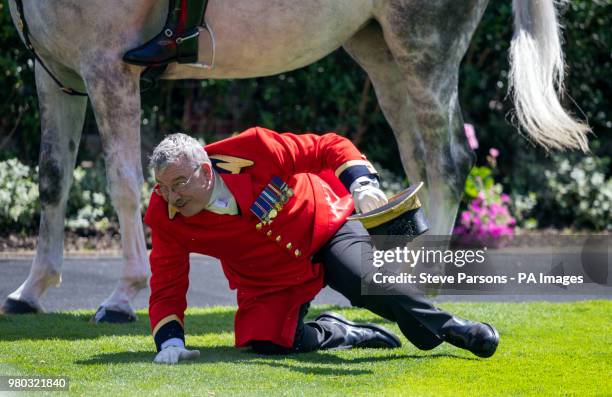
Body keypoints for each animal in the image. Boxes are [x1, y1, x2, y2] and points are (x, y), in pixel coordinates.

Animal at [3, 0, 588, 320]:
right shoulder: (56, 74)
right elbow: (53, 178)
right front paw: (31, 290)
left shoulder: (108, 69)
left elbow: (123, 182)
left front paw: (123, 296)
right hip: (380, 50)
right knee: (417, 159)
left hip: (424, 48)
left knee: (447, 161)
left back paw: (424, 280)